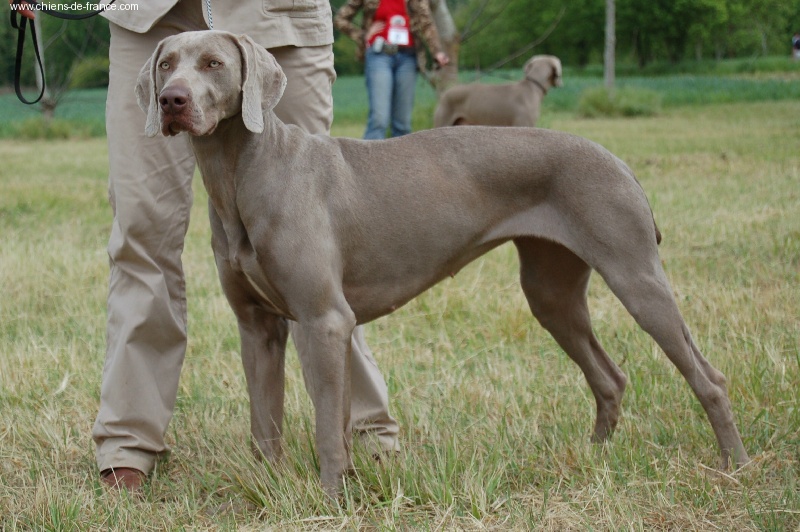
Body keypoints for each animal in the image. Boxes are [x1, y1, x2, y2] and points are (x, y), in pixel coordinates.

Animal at [136, 31, 749, 495]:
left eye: (213, 63)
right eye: (166, 63)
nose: (172, 100)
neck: (242, 175)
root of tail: (619, 161)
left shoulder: (323, 321)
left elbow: (328, 424)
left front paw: (332, 497)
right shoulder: (258, 327)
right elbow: (265, 420)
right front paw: (270, 490)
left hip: (636, 276)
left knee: (709, 377)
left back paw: (734, 466)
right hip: (551, 292)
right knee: (610, 375)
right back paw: (594, 459)